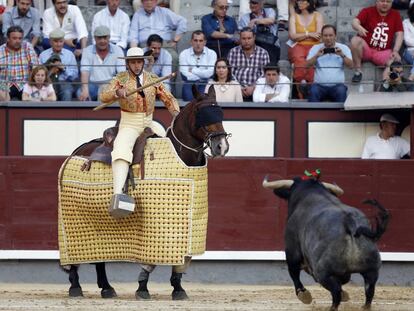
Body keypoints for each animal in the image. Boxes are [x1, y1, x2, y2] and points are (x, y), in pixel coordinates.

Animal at [60, 84, 230, 300]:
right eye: (202, 112)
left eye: (220, 112)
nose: (221, 146)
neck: (181, 155)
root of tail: (76, 151)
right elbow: (150, 263)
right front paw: (142, 288)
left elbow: (181, 262)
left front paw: (178, 288)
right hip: (73, 217)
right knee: (74, 257)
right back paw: (75, 286)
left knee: (98, 257)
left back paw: (106, 288)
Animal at [264, 178, 390, 311]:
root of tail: (350, 222)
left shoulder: (292, 250)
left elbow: (293, 273)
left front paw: (304, 295)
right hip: (372, 270)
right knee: (369, 291)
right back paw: (363, 306)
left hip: (323, 273)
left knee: (335, 292)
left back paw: (332, 307)